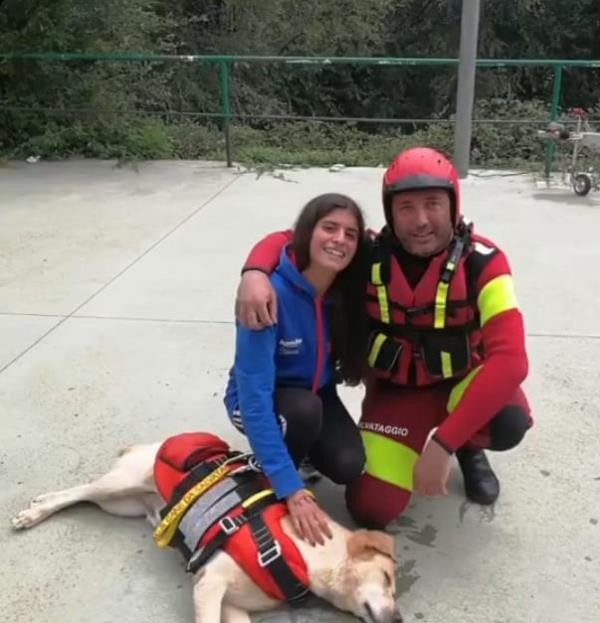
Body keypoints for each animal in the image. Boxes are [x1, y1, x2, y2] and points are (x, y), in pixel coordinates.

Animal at [10, 438, 404, 623]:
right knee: (77, 491)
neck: (306, 557)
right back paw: (33, 512)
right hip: (120, 484)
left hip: (123, 506)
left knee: (85, 498)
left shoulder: (231, 605)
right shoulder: (209, 585)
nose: (399, 618)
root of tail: (150, 444)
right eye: (386, 578)